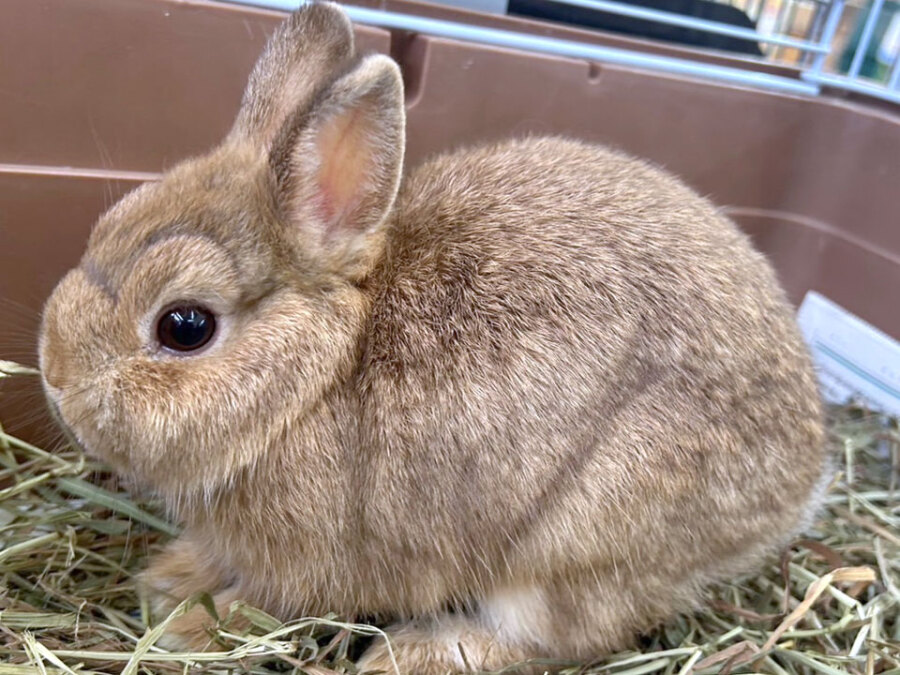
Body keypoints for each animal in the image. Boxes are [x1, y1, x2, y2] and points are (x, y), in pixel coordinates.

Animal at [38, 2, 829, 672]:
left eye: (185, 326)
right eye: (107, 227)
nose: (53, 376)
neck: (316, 379)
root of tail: (800, 479)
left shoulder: (314, 563)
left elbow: (268, 605)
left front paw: (190, 626)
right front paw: (170, 578)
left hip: (580, 542)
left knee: (557, 637)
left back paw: (414, 653)